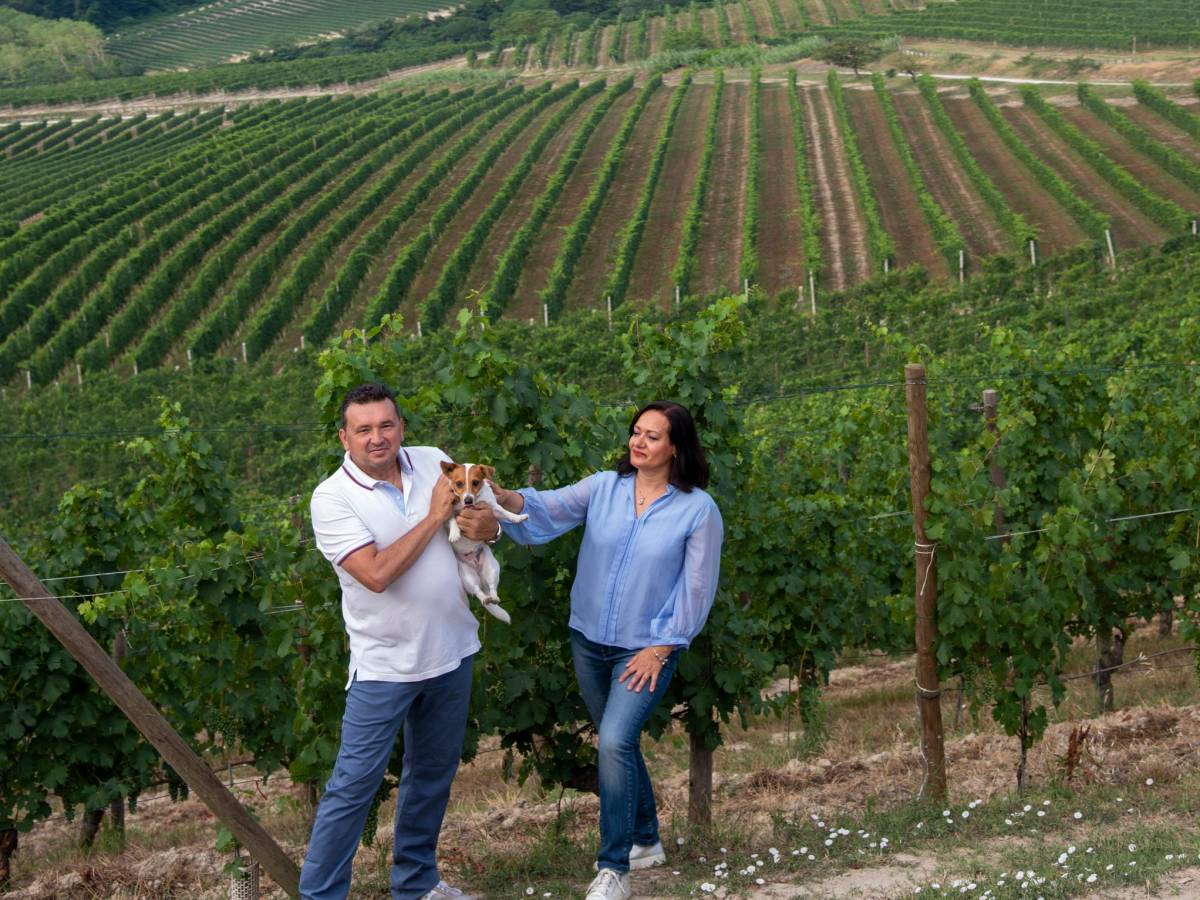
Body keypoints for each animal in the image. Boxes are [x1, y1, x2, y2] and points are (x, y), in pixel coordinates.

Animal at [441, 460, 525, 624]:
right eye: (458, 483)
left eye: (475, 482)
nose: (468, 500)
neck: (472, 504)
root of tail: (479, 575)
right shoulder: (448, 512)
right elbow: (453, 519)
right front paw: (454, 533)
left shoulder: (493, 509)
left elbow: (505, 512)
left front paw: (518, 517)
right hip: (467, 577)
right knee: (478, 591)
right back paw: (485, 598)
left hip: (492, 569)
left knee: (492, 588)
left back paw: (493, 597)